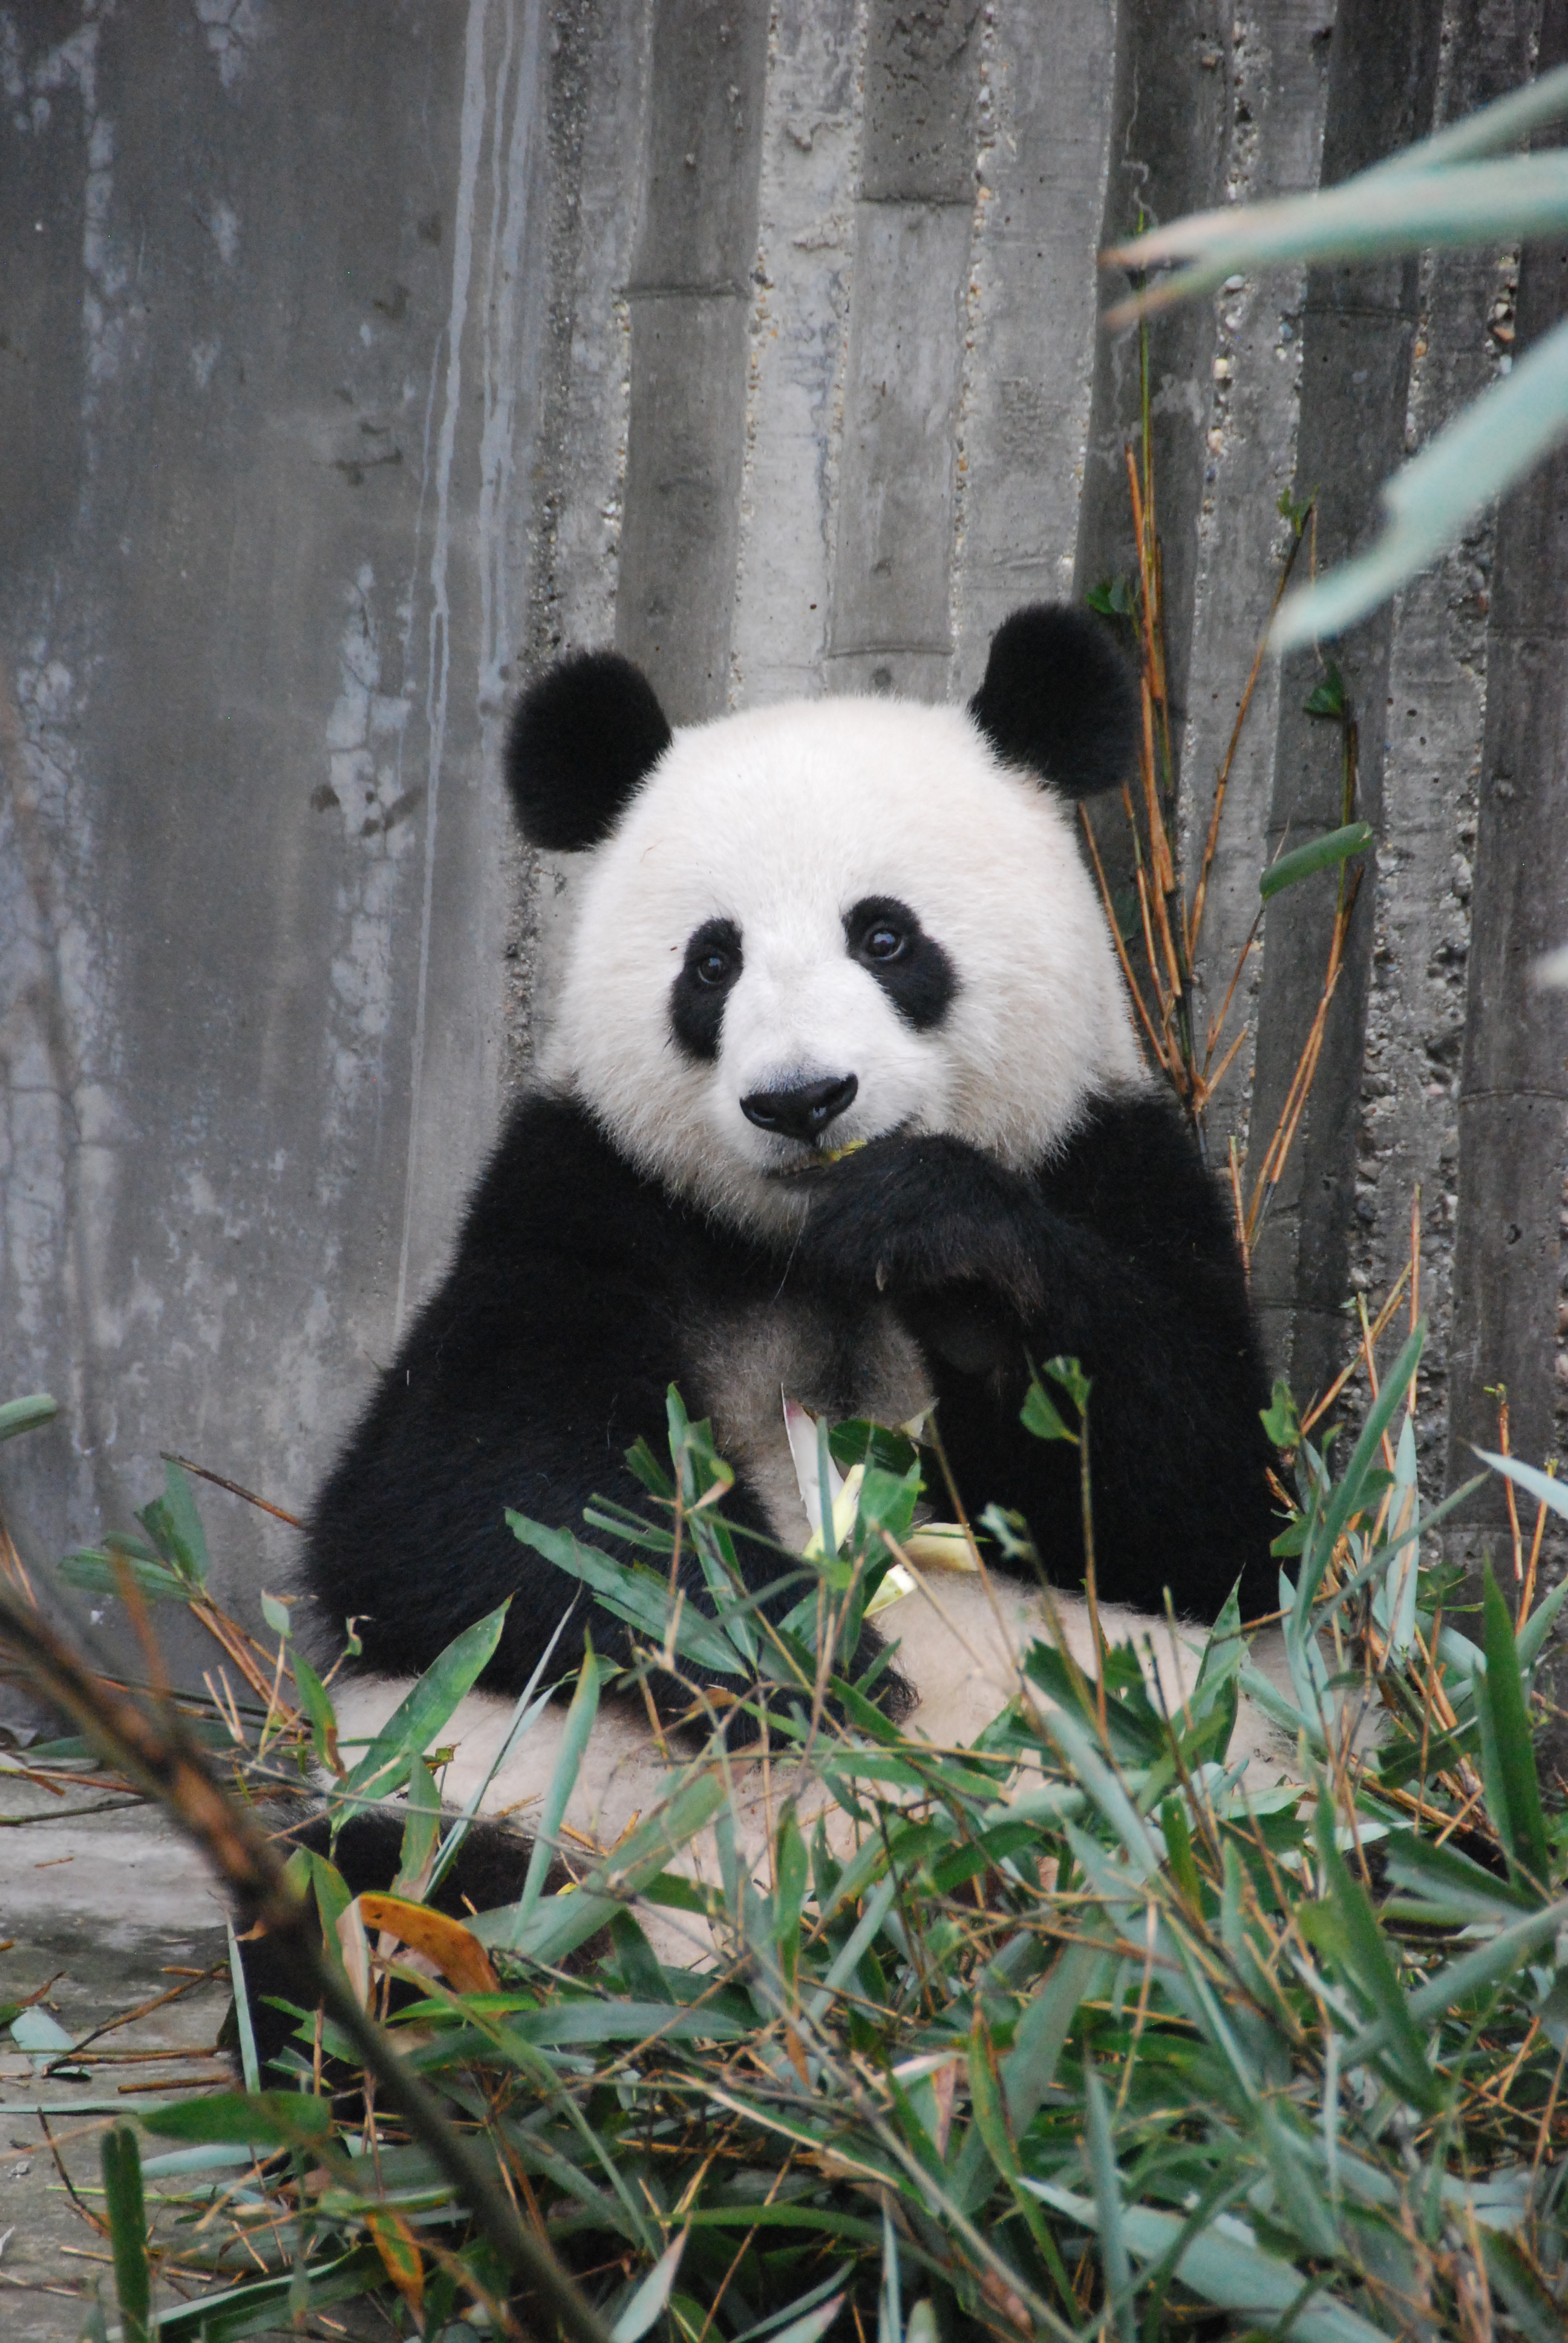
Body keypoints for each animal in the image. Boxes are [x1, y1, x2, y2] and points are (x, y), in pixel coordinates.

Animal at [304, 609, 1284, 1921]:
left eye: (885, 935)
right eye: (711, 964)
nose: (802, 1099)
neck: (805, 1247)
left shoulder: (1106, 1157)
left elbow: (1213, 1510)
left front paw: (947, 1249)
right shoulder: (582, 1196)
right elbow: (457, 1505)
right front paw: (796, 1650)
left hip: (1205, 1805)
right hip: (461, 1794)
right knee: (385, 1882)